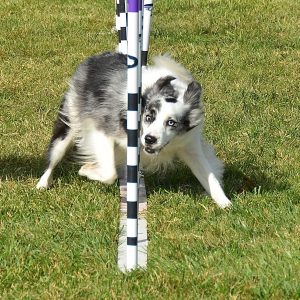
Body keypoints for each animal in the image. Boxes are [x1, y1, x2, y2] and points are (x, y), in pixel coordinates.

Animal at [36, 51, 231, 209]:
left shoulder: (189, 145)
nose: (150, 139)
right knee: (55, 156)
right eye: (149, 117)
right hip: (69, 123)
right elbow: (109, 173)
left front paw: (226, 205)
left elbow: (209, 176)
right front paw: (87, 169)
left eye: (171, 123)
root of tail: (96, 58)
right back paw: (43, 183)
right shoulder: (102, 129)